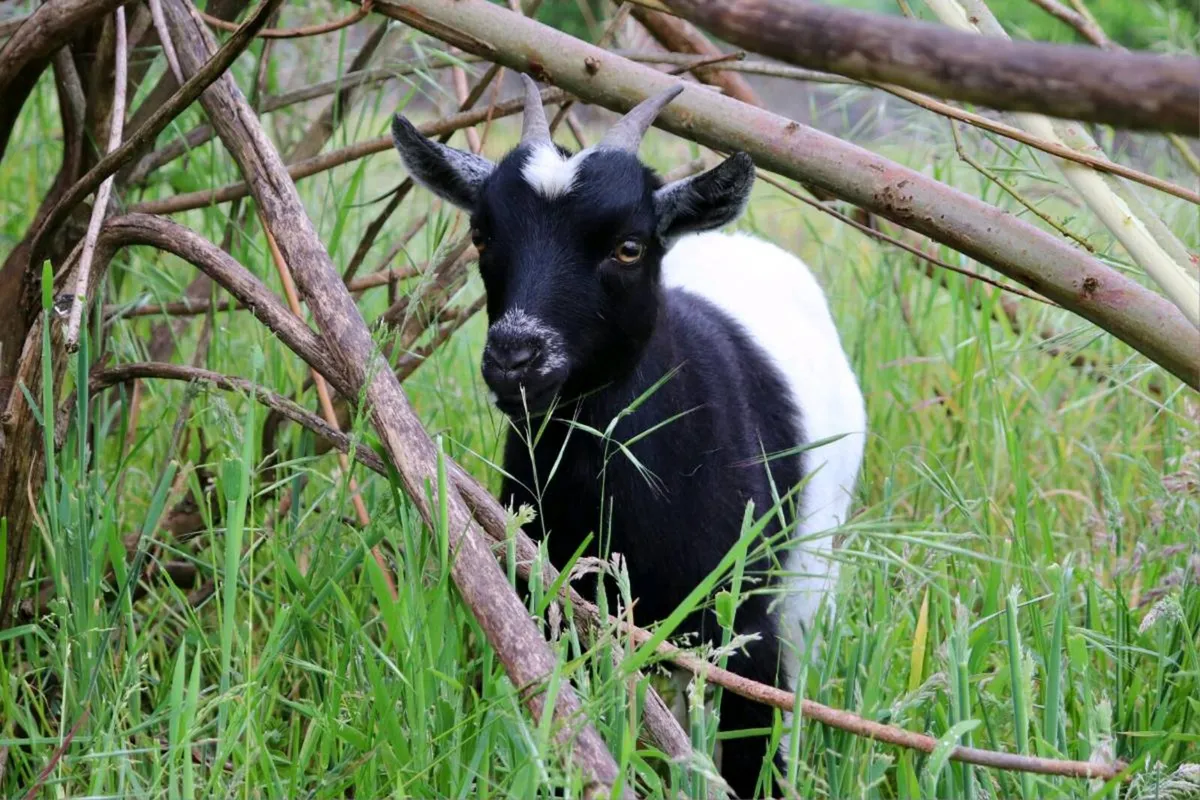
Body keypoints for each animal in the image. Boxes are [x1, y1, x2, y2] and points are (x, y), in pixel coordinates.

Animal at [390, 76, 866, 798]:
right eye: (480, 233)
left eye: (629, 246)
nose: (515, 356)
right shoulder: (556, 597)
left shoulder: (748, 623)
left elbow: (755, 746)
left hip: (810, 565)